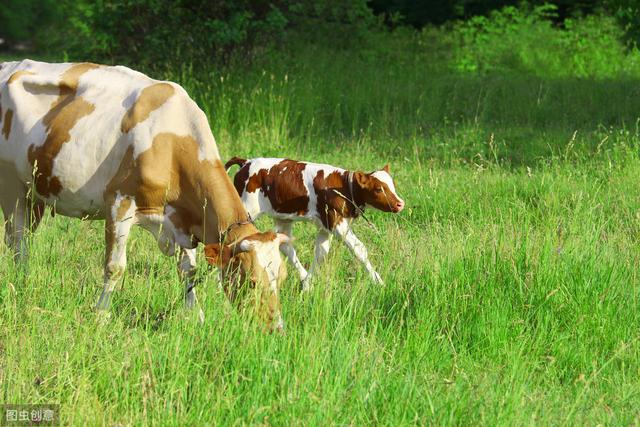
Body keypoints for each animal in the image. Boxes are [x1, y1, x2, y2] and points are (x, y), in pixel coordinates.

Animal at [0, 59, 288, 332]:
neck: (171, 142)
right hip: (12, 187)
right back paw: (20, 285)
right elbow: (115, 267)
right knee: (18, 242)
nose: (276, 328)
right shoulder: (119, 204)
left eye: (283, 278)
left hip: (34, 194)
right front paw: (101, 316)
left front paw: (195, 317)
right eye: (252, 281)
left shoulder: (182, 221)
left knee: (22, 241)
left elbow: (188, 270)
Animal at [226, 157, 404, 290]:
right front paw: (379, 282)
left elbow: (320, 254)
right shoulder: (336, 222)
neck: (344, 187)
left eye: (393, 186)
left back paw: (304, 278)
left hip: (283, 218)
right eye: (378, 189)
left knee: (286, 246)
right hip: (245, 211)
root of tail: (246, 162)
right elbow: (359, 249)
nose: (400, 203)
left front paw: (307, 285)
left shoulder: (325, 227)